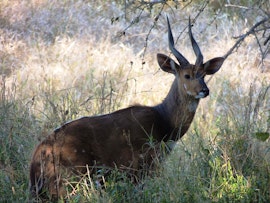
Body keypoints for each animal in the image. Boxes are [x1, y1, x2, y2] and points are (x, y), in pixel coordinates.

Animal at [29, 17, 225, 200]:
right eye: (187, 75)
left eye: (204, 75)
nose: (204, 90)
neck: (164, 122)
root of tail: (37, 162)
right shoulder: (141, 169)